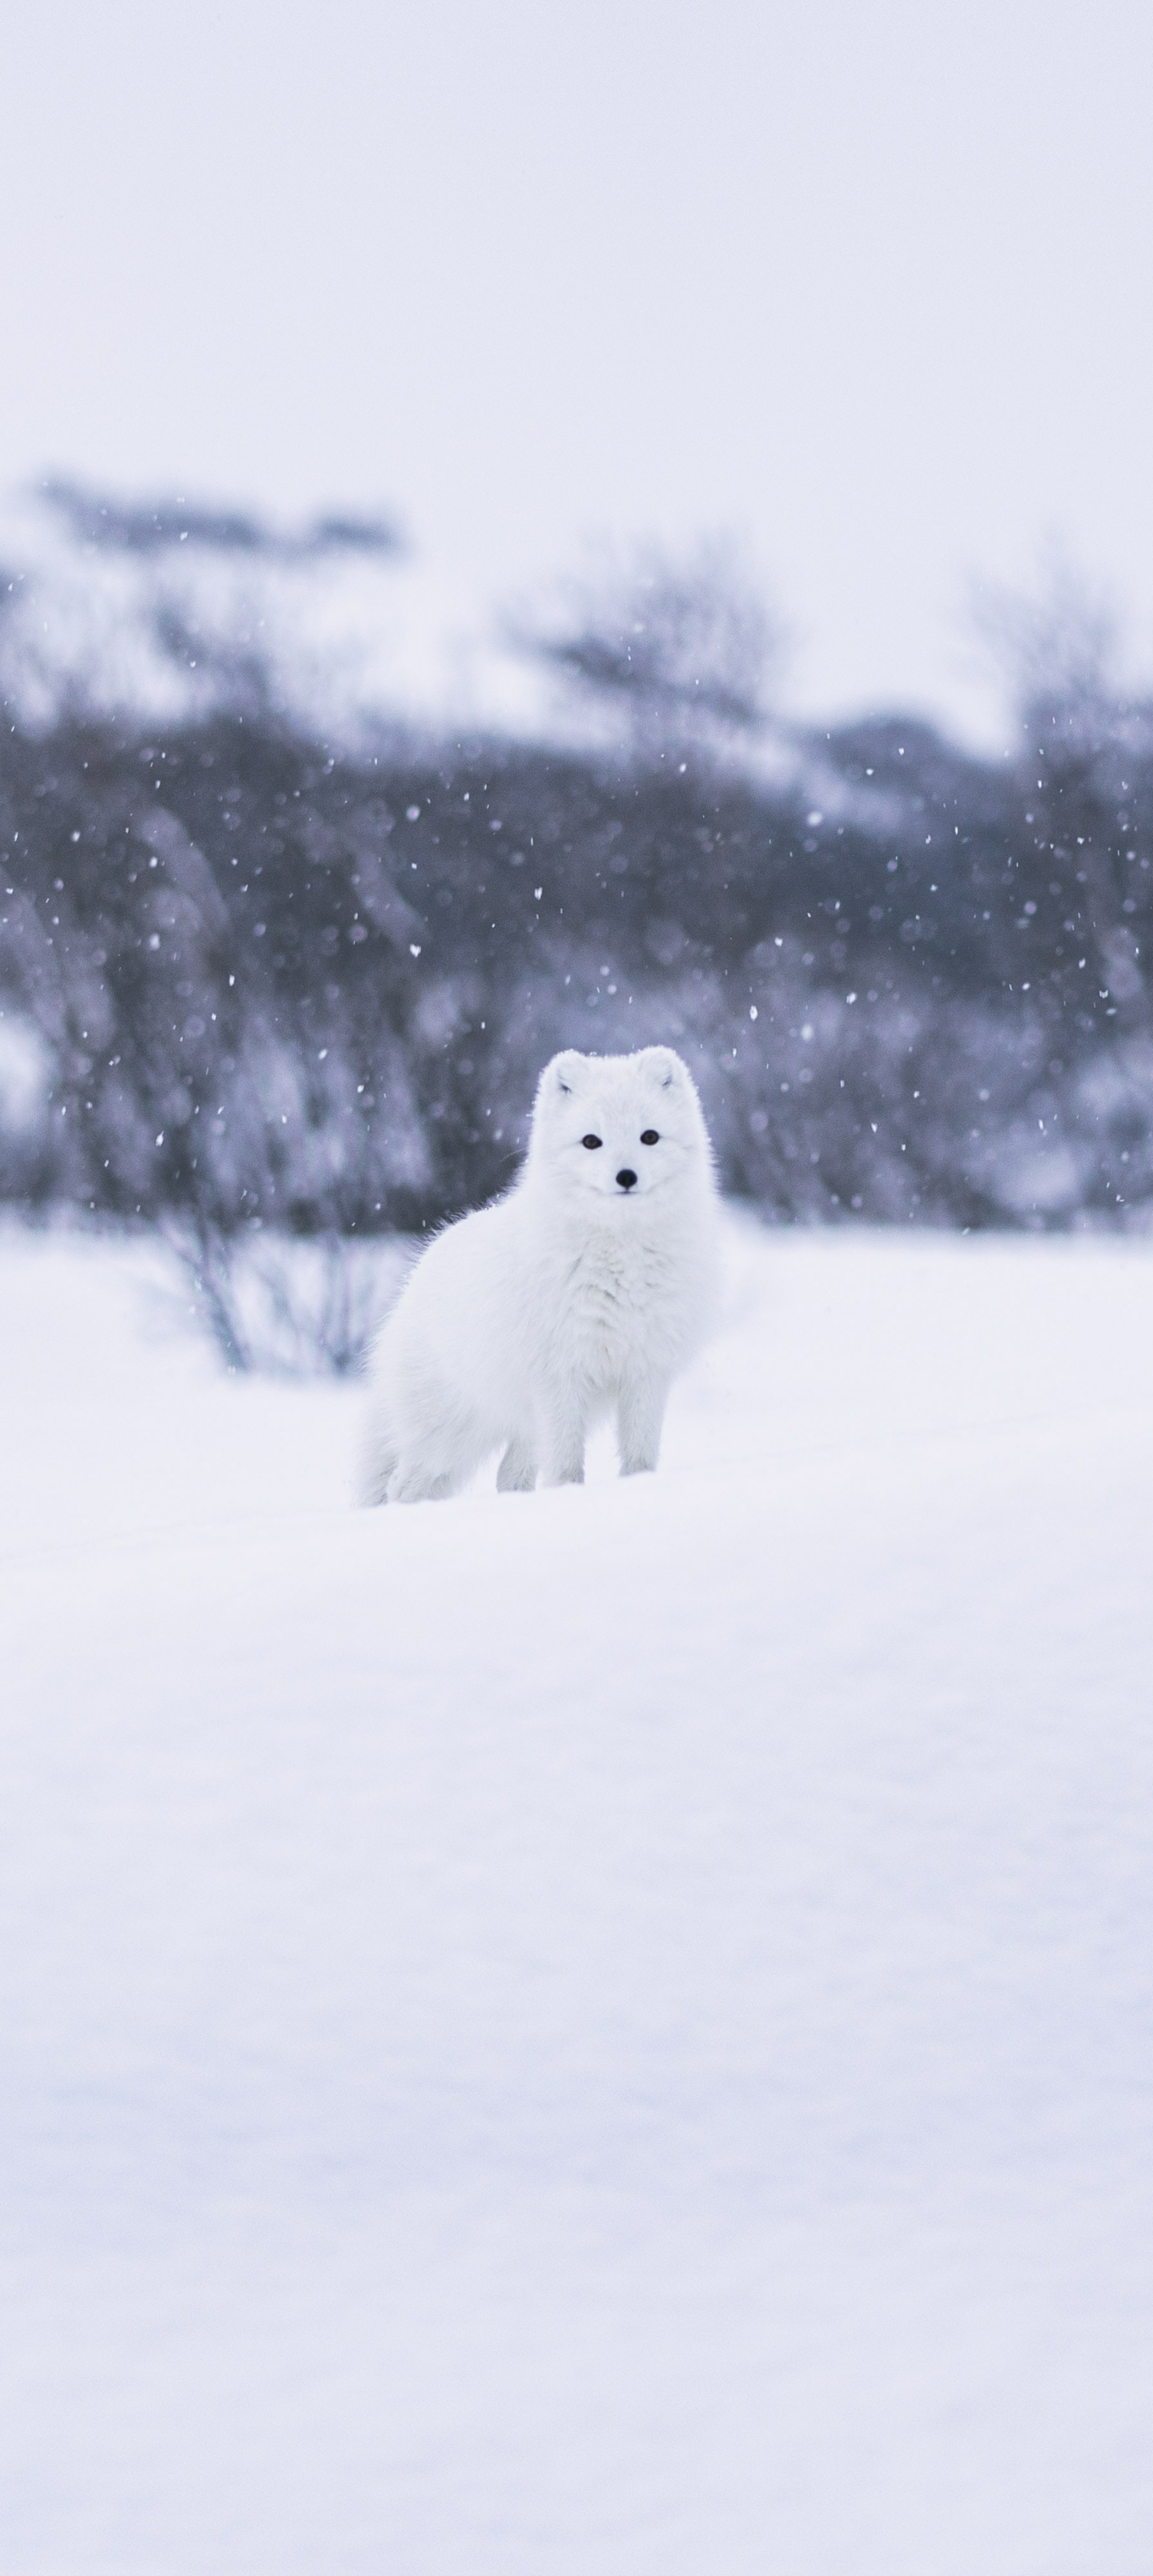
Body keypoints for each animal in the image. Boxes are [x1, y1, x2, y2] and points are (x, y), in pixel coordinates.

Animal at [360, 1035, 721, 1504]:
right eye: (591, 1141)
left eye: (649, 1137)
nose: (626, 1176)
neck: (620, 1262)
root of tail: (417, 1272)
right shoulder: (559, 1378)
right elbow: (566, 1465)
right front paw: (568, 1498)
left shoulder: (646, 1372)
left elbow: (640, 1456)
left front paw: (638, 1489)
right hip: (449, 1434)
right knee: (402, 1485)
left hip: (518, 1431)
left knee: (507, 1477)